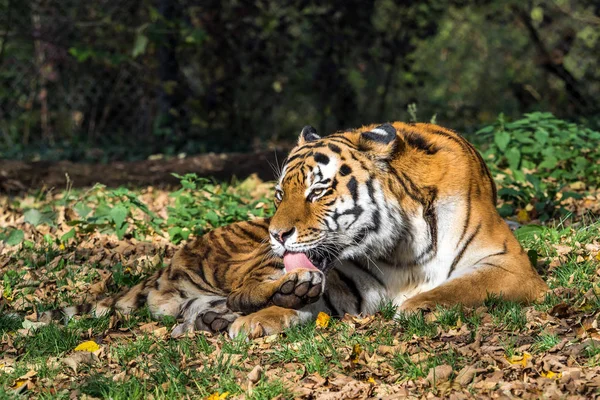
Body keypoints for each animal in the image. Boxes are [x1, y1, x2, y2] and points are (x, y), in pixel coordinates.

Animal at [42, 121, 548, 338]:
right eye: (279, 193)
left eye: (318, 191)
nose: (278, 234)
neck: (402, 246)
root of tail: (167, 264)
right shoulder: (349, 281)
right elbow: (303, 302)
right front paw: (262, 320)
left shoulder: (511, 267)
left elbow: (462, 286)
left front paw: (420, 306)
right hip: (250, 257)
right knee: (245, 289)